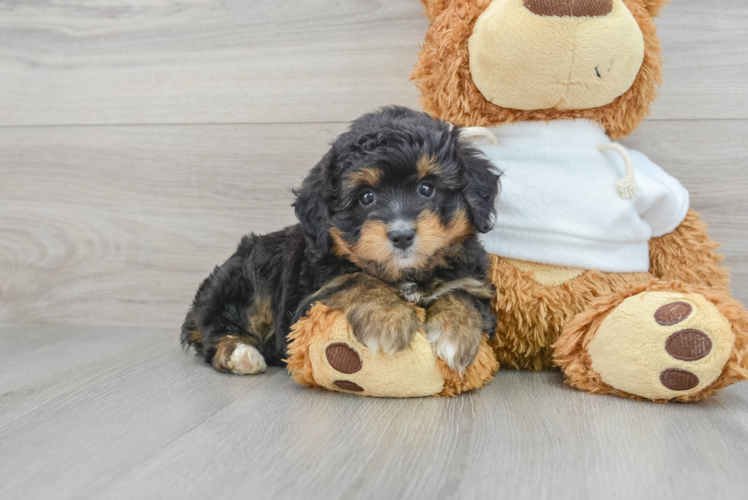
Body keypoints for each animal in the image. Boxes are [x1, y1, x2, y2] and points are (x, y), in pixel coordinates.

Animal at [180, 106, 502, 376]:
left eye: (426, 189)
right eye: (366, 197)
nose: (401, 235)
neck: (405, 275)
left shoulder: (471, 278)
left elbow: (461, 292)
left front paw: (456, 333)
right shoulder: (307, 303)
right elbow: (358, 280)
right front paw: (388, 319)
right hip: (249, 278)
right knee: (216, 332)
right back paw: (240, 354)